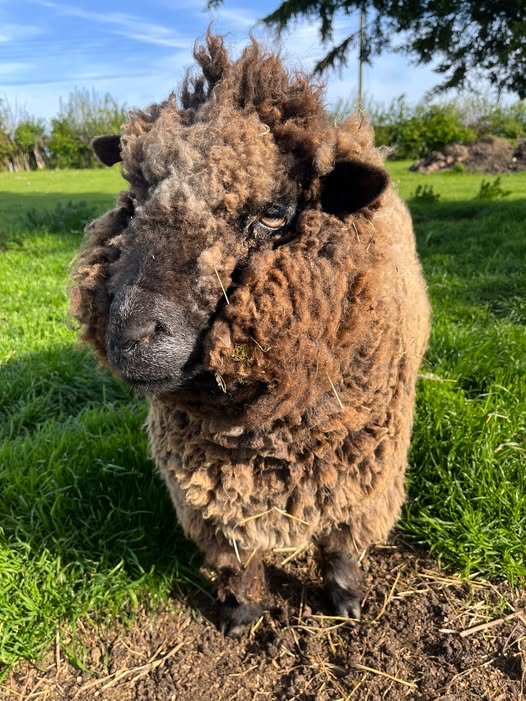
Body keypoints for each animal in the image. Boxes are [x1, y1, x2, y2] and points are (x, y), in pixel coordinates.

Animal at [70, 33, 431, 637]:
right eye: (135, 200)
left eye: (273, 214)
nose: (131, 334)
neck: (267, 426)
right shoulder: (208, 481)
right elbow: (237, 551)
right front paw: (241, 614)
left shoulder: (363, 468)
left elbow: (340, 543)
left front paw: (346, 601)